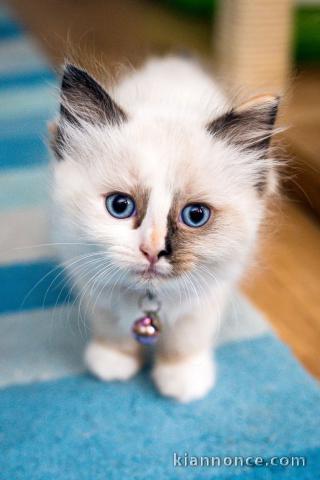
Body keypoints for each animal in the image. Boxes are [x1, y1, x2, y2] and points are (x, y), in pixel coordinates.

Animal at [50, 55, 280, 402]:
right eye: (120, 206)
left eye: (195, 215)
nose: (152, 251)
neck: (150, 300)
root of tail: (174, 62)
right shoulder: (92, 280)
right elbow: (112, 331)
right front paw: (112, 364)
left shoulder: (206, 297)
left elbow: (184, 342)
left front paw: (182, 382)